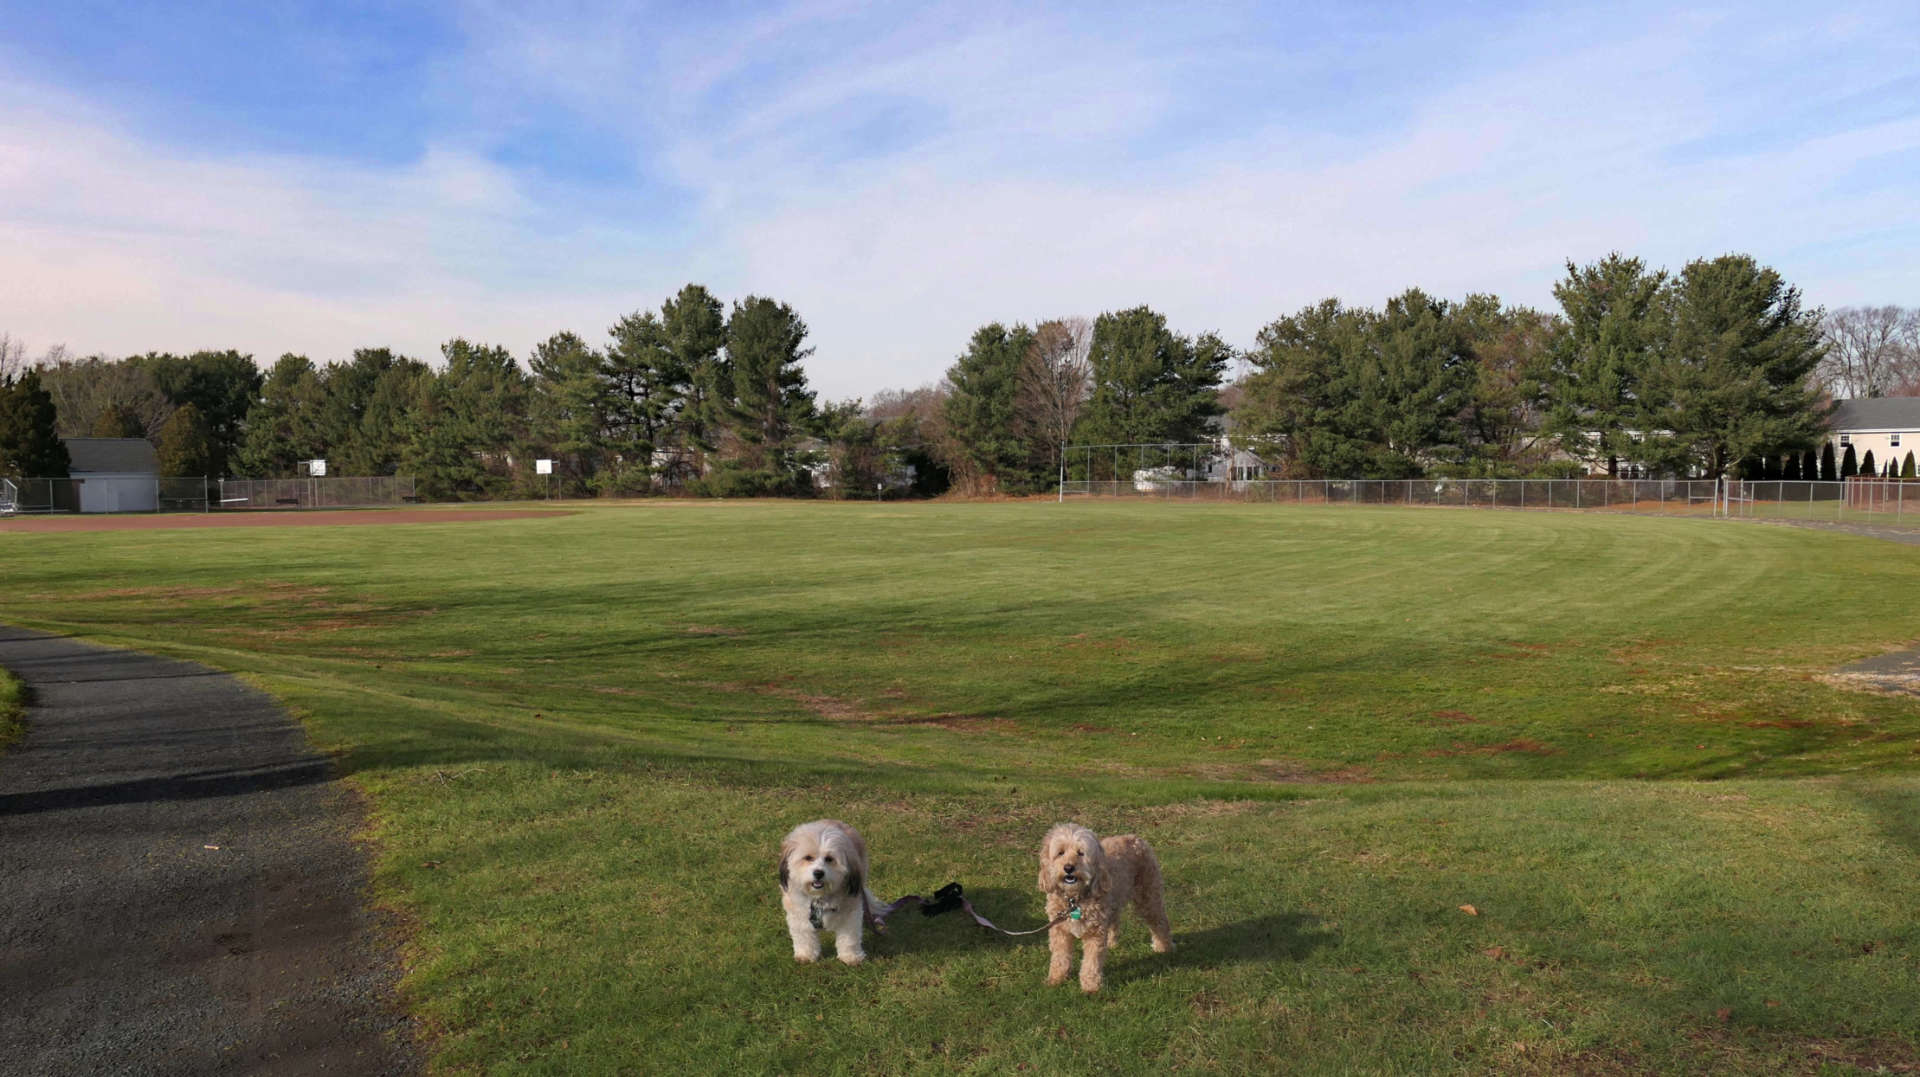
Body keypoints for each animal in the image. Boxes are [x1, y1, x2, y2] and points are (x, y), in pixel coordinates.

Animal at [771, 817, 879, 959]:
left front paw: (850, 956)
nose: (818, 873)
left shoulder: (850, 913)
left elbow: (849, 938)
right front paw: (806, 954)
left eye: (829, 859)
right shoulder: (798, 913)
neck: (819, 897)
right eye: (808, 857)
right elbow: (803, 936)